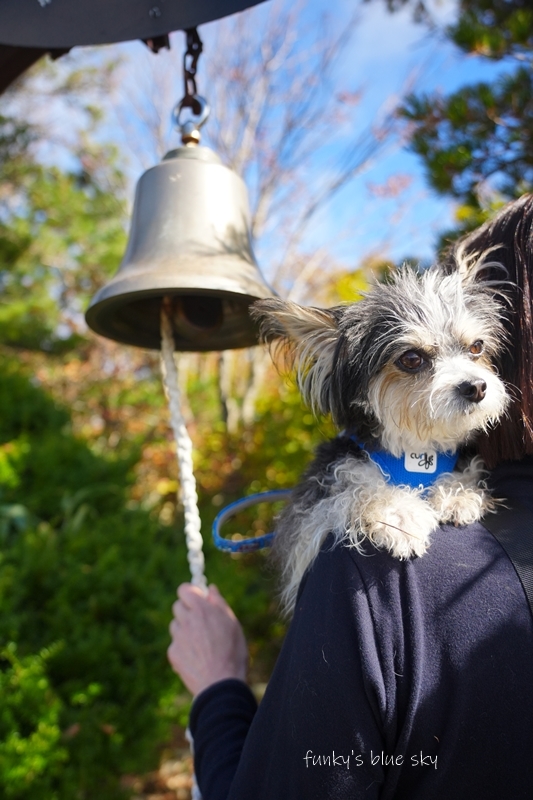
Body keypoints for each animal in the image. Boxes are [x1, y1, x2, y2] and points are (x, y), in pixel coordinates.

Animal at [251, 260, 510, 608]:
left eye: (476, 347)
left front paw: (458, 494)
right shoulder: (305, 522)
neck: (415, 449)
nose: (477, 387)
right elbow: (354, 489)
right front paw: (400, 515)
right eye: (412, 359)